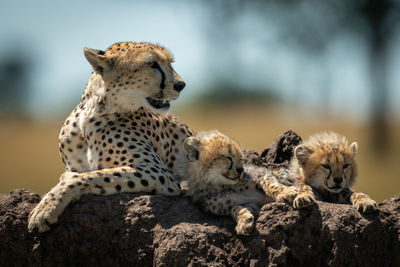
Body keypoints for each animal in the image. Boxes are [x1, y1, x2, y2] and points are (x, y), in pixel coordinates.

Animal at [28, 41, 194, 232]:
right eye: (152, 64)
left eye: (170, 63)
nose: (181, 85)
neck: (93, 113)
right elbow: (90, 175)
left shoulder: (159, 172)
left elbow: (89, 176)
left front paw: (44, 210)